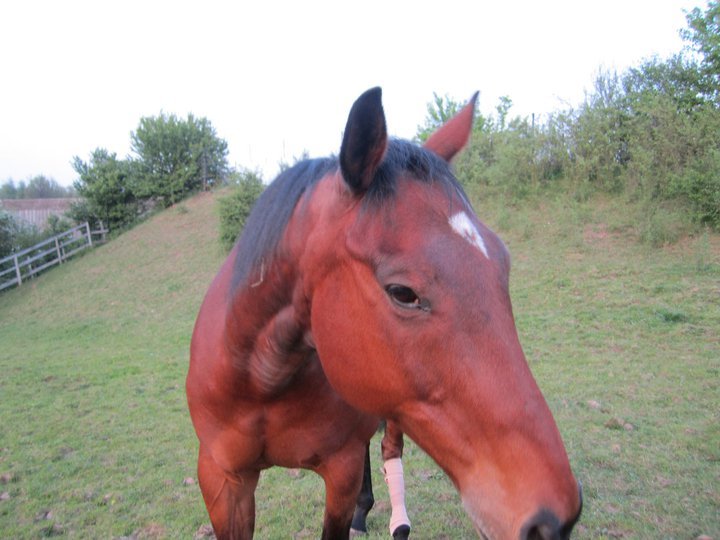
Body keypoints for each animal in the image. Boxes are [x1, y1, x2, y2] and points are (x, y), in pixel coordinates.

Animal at [186, 87, 582, 539]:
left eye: (503, 263)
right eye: (402, 293)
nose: (555, 514)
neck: (261, 383)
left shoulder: (339, 470)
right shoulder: (222, 480)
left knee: (390, 448)